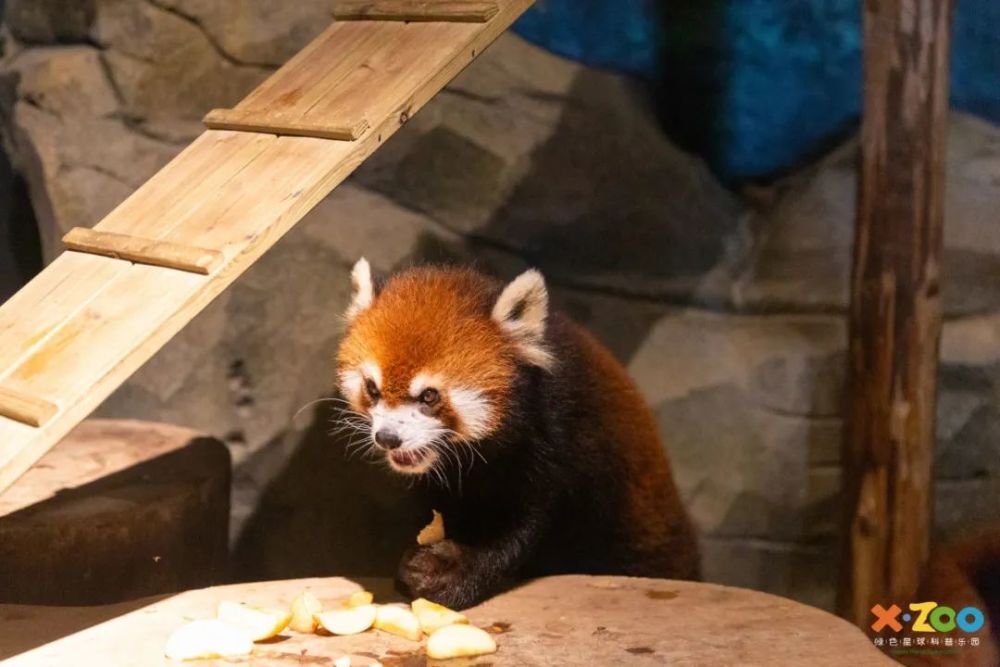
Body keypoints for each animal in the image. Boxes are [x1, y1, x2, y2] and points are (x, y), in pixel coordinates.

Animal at [336, 262, 704, 612]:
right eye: (372, 389)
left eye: (429, 396)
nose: (388, 437)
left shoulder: (563, 439)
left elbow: (524, 528)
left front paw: (453, 573)